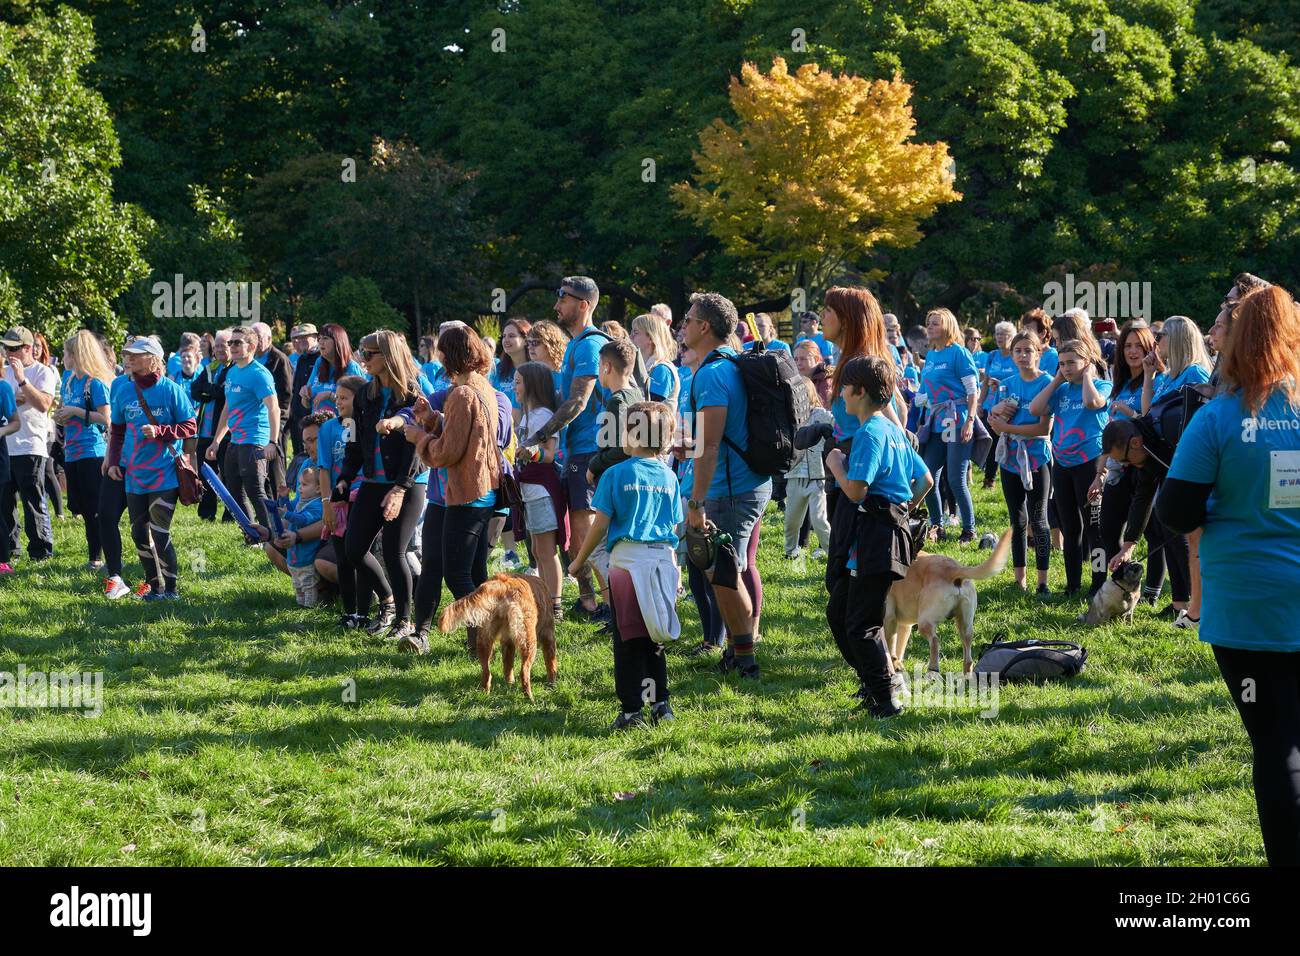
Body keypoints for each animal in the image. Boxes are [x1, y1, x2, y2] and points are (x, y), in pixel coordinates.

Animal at [883, 530, 1013, 671]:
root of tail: (953, 568)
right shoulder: (905, 626)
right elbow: (898, 649)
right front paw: (898, 665)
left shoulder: (889, 619)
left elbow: (890, 647)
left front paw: (894, 665)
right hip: (965, 624)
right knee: (968, 659)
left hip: (925, 621)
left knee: (935, 642)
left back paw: (932, 670)